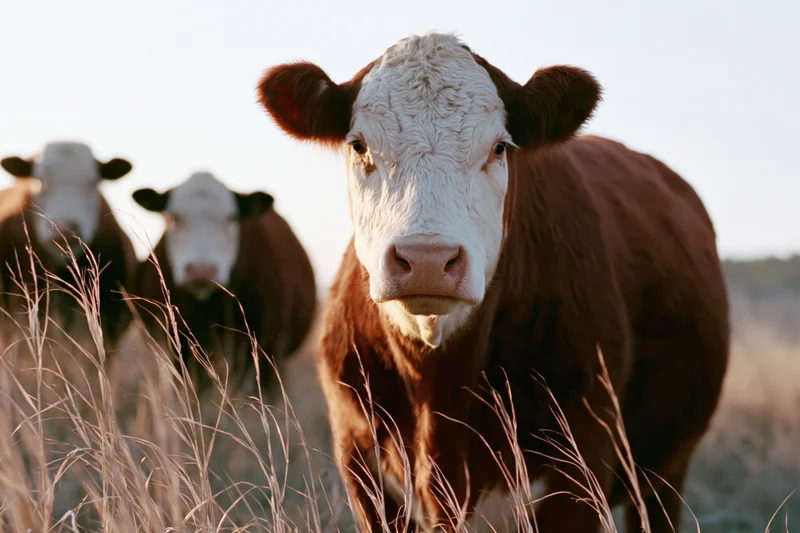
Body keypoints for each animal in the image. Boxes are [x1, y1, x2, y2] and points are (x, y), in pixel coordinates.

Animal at [255, 32, 730, 533]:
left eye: (500, 147)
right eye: (359, 145)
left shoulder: (579, 467)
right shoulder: (362, 465)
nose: (427, 259)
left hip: (664, 474)